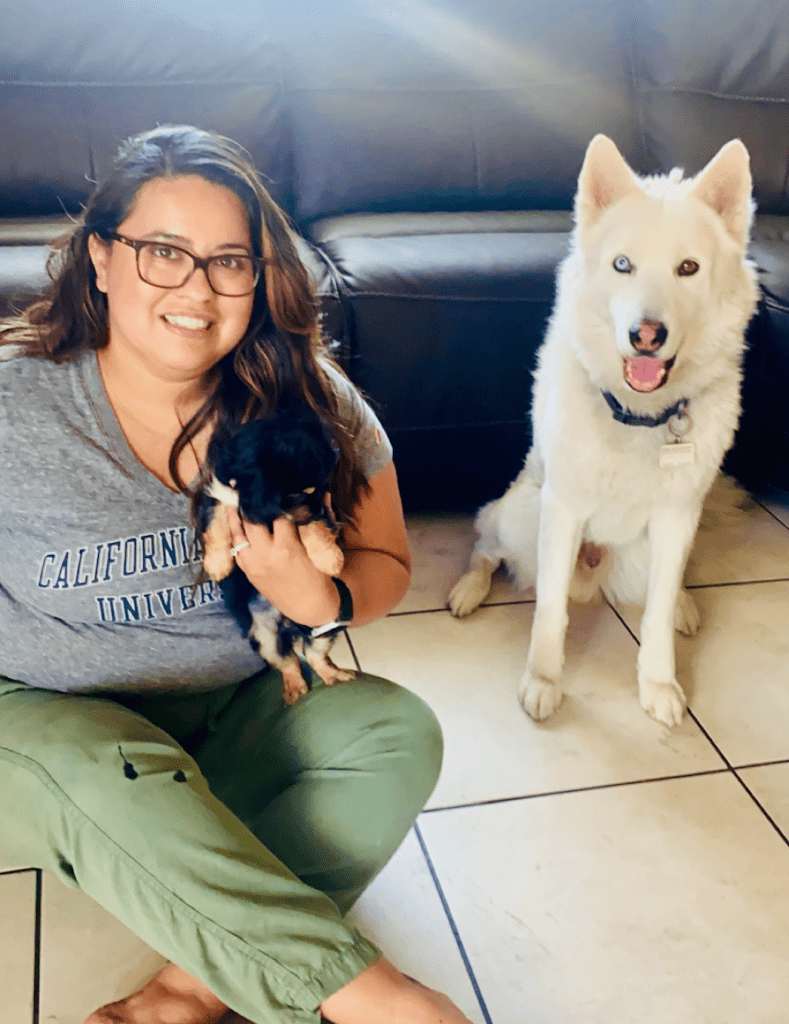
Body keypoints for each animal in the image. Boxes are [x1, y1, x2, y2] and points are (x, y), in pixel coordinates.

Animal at [197, 405, 354, 704]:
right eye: (299, 493)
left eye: (323, 488)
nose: (319, 509)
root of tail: (289, 628)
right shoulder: (219, 495)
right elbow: (215, 525)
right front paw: (217, 564)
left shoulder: (314, 514)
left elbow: (313, 527)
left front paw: (329, 559)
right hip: (263, 636)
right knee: (287, 660)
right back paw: (295, 689)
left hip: (327, 623)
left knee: (313, 655)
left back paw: (334, 676)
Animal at [450, 134, 757, 729]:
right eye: (622, 265)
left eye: (688, 267)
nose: (646, 335)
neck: (639, 415)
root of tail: (595, 573)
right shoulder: (562, 510)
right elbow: (549, 610)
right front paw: (543, 681)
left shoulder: (677, 518)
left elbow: (656, 615)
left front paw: (659, 683)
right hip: (522, 513)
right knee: (487, 545)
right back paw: (469, 588)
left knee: (667, 585)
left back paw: (684, 602)